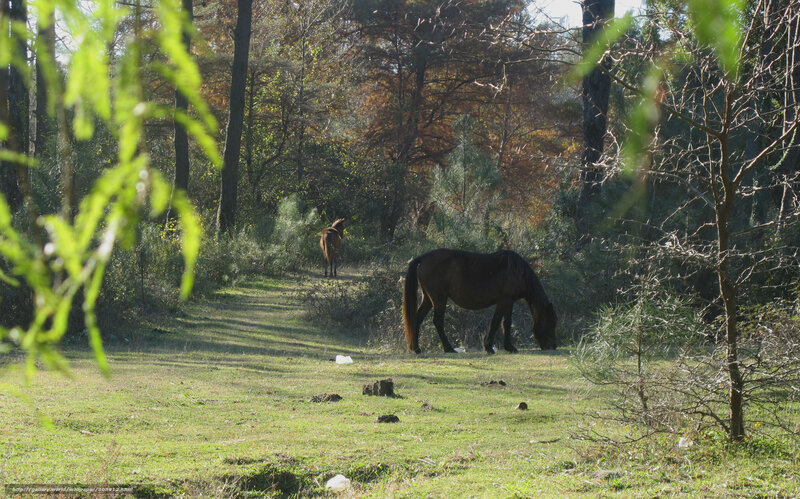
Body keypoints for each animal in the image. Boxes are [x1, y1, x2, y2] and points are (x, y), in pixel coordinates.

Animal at [403, 248, 557, 354]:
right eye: (551, 322)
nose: (552, 346)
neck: (516, 271)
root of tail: (423, 258)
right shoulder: (505, 301)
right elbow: (499, 323)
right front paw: (490, 347)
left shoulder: (508, 302)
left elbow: (504, 323)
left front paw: (507, 347)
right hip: (439, 299)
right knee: (438, 322)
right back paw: (448, 348)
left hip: (428, 299)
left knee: (417, 319)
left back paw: (416, 348)